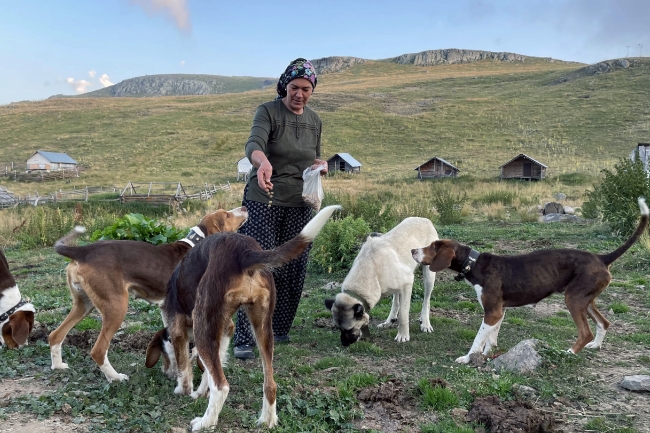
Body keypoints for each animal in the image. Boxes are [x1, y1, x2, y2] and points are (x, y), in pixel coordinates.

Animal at [48, 207, 248, 382]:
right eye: (227, 215)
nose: (245, 207)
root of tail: (83, 251)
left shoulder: (168, 310)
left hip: (83, 305)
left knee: (55, 335)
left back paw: (58, 366)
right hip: (116, 307)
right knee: (98, 350)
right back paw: (115, 377)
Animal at [157, 204, 340, 430]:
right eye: (226, 215)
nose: (244, 207)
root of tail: (244, 250)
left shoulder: (178, 329)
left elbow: (185, 366)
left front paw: (184, 390)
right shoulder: (226, 328)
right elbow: (210, 367)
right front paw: (200, 391)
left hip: (202, 325)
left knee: (222, 386)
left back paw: (205, 422)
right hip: (263, 328)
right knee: (270, 383)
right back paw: (267, 420)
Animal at [322, 218, 436, 346]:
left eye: (350, 329)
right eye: (338, 329)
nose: (344, 344)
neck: (370, 270)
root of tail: (425, 219)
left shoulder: (407, 284)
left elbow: (403, 314)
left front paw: (403, 335)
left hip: (428, 276)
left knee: (426, 300)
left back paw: (425, 322)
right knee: (396, 301)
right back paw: (389, 321)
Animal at [412, 197, 644, 362]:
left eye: (432, 247)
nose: (413, 250)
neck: (474, 263)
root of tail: (602, 258)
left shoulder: (492, 312)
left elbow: (478, 339)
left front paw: (467, 358)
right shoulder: (499, 311)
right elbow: (490, 339)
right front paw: (486, 355)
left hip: (574, 299)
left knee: (585, 332)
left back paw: (568, 353)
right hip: (586, 299)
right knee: (604, 323)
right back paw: (595, 346)